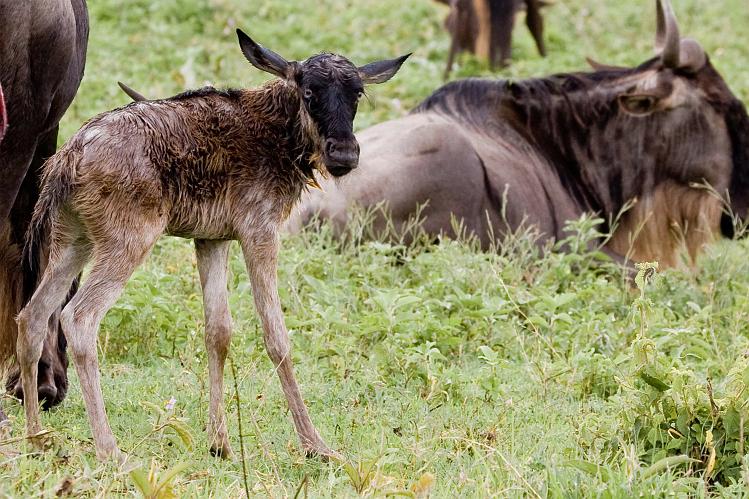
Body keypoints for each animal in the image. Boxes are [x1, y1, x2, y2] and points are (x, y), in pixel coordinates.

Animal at [14, 29, 410, 462]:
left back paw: (36, 438)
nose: (345, 154)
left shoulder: (211, 239)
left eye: (357, 93)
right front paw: (315, 444)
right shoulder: (259, 231)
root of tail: (69, 156)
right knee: (78, 318)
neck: (276, 132)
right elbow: (276, 337)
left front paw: (219, 442)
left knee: (33, 315)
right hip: (126, 242)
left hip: (74, 242)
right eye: (309, 91)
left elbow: (217, 333)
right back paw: (109, 451)